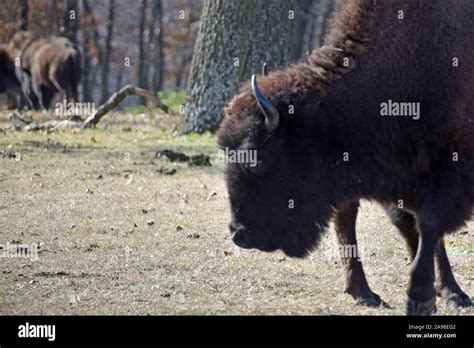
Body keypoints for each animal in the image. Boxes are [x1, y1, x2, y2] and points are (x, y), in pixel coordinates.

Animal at [218, 0, 474, 316]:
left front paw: (423, 298)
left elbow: (430, 224)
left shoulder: (453, 168)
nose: (239, 234)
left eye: (257, 158)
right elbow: (406, 226)